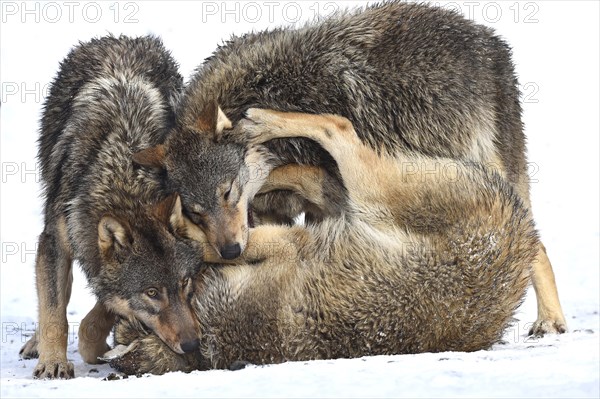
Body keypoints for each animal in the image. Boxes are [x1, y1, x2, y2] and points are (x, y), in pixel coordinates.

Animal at [18, 35, 203, 382]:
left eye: (185, 284)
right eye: (152, 292)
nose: (192, 344)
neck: (124, 182)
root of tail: (122, 39)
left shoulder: (97, 258)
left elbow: (99, 314)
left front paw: (100, 345)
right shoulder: (56, 240)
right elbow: (54, 312)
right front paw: (53, 362)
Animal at [104, 108, 540, 376]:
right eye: (153, 297)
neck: (213, 326)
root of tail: (522, 227)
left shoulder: (286, 244)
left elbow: (218, 242)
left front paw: (185, 229)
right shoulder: (290, 241)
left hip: (368, 192)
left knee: (337, 127)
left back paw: (262, 125)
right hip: (359, 199)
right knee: (324, 159)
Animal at [132, 1, 568, 336]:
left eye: (227, 193)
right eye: (195, 211)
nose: (229, 249)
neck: (266, 88)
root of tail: (492, 44)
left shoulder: (321, 187)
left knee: (537, 245)